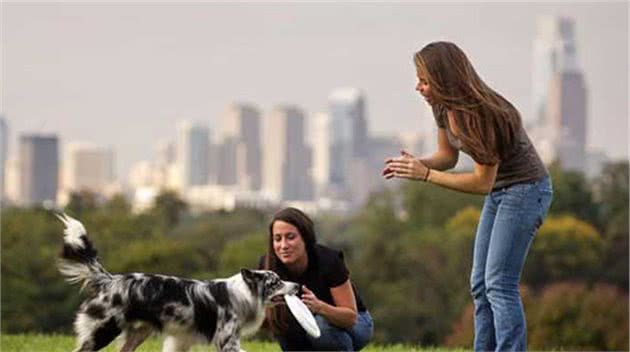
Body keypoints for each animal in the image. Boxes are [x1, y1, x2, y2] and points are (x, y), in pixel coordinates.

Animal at [55, 212, 300, 352]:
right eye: (276, 282)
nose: (298, 286)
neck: (243, 294)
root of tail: (110, 280)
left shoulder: (181, 339)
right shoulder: (226, 340)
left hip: (136, 334)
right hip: (102, 330)